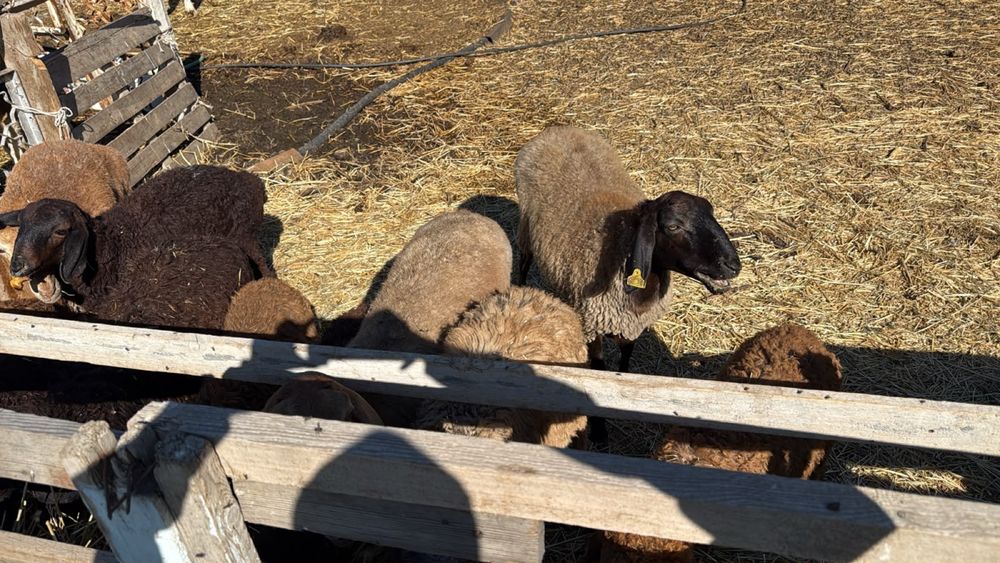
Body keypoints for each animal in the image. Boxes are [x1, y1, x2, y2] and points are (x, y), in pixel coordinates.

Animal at [514, 126, 742, 373]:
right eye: (673, 226)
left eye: (711, 213)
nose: (733, 265)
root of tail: (558, 129)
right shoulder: (592, 326)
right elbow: (600, 365)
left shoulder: (631, 328)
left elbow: (625, 362)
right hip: (526, 226)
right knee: (524, 261)